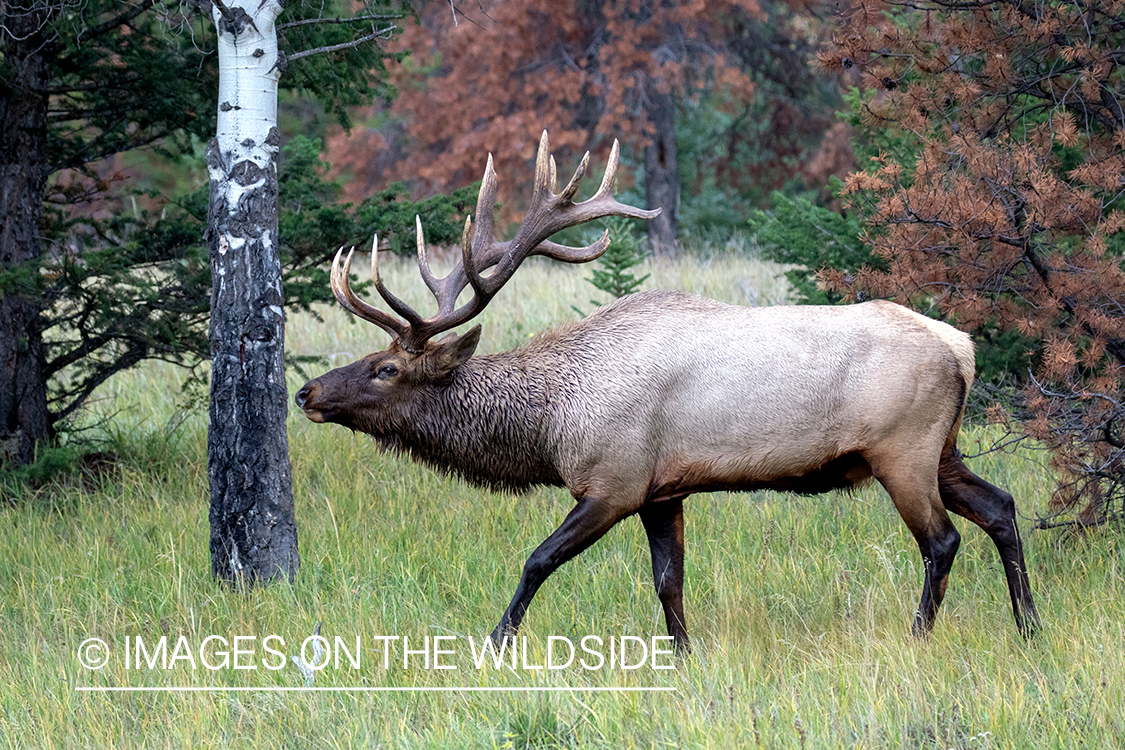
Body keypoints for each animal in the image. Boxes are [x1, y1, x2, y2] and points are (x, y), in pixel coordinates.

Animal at [294, 132, 1039, 652]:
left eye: (386, 369)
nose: (306, 393)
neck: (550, 423)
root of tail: (961, 348)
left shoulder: (613, 482)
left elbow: (537, 560)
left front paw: (494, 644)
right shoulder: (663, 491)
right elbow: (668, 582)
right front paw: (684, 655)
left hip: (901, 449)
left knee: (943, 540)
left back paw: (919, 635)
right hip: (944, 448)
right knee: (1001, 506)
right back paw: (1028, 626)